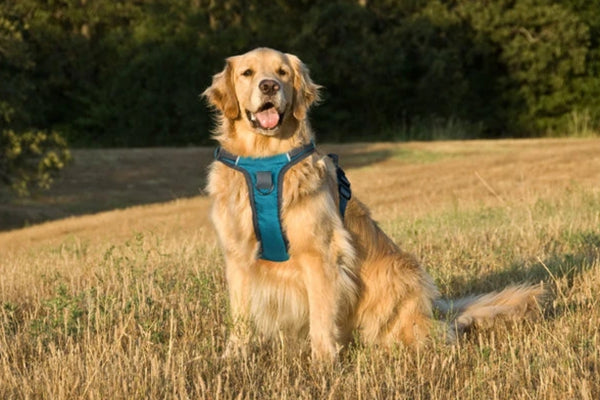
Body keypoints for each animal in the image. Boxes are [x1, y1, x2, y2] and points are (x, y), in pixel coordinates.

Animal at [204, 48, 548, 360]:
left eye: (282, 72)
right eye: (247, 73)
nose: (269, 86)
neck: (264, 162)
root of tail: (434, 308)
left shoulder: (319, 253)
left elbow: (321, 317)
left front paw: (324, 364)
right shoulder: (238, 256)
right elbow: (240, 317)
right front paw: (233, 357)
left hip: (397, 275)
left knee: (433, 331)